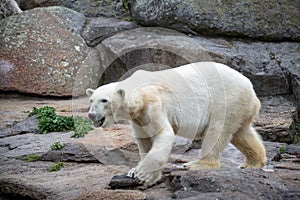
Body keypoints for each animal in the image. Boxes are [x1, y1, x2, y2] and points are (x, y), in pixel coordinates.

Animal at [85, 61, 266, 187]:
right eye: (91, 100)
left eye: (104, 100)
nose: (91, 114)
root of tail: (251, 89)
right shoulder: (138, 117)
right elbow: (144, 140)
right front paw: (134, 171)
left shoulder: (153, 103)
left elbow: (163, 134)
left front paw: (142, 174)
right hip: (239, 106)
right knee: (241, 132)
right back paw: (253, 163)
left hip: (227, 99)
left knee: (217, 131)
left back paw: (196, 164)